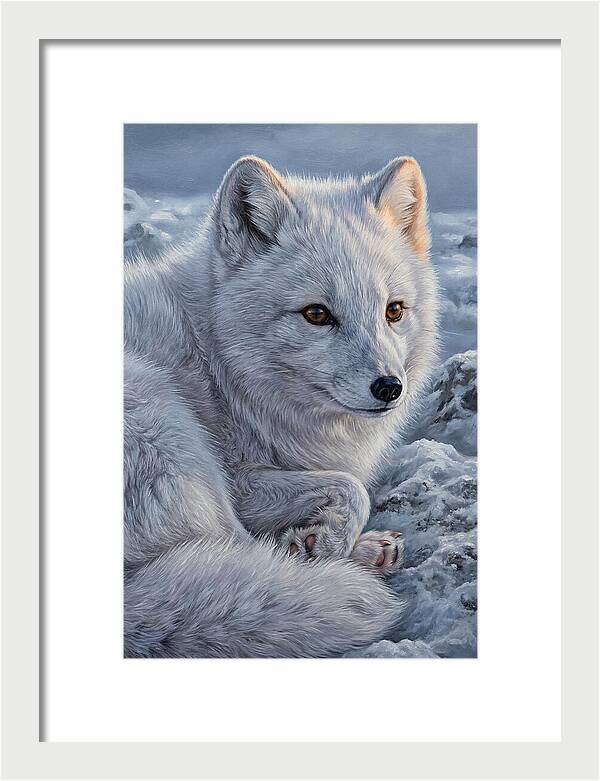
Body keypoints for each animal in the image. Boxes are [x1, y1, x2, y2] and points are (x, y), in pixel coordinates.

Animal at [124, 154, 439, 657]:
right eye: (316, 314)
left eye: (394, 310)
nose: (390, 388)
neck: (217, 363)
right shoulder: (239, 480)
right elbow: (353, 487)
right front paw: (324, 544)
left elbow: (347, 486)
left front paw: (322, 539)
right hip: (166, 425)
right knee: (240, 552)